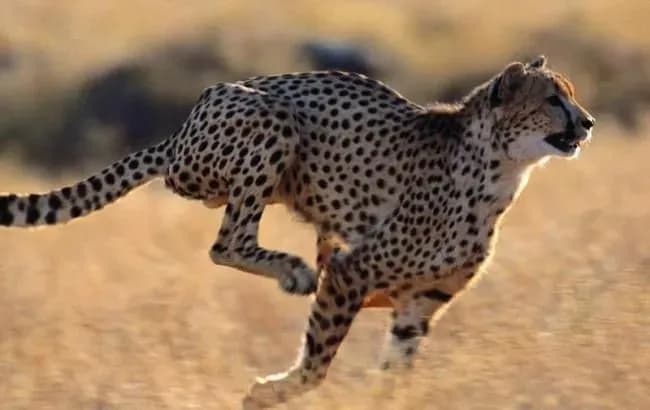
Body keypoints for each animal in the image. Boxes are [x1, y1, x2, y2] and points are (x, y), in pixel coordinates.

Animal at [0, 55, 594, 408]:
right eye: (552, 99)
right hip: (267, 123)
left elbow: (394, 372)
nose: (587, 122)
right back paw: (293, 271)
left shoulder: (420, 302)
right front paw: (269, 392)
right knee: (227, 242)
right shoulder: (355, 272)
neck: (500, 169)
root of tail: (180, 130)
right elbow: (318, 361)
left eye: (569, 95)